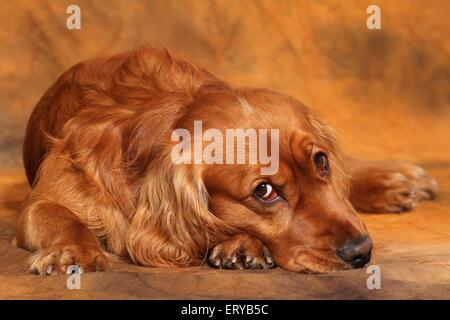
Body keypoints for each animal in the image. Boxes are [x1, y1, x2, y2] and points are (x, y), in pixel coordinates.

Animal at [16, 46, 436, 274]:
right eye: (264, 191)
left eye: (321, 162)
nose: (360, 251)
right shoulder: (45, 199)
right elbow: (61, 218)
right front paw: (73, 251)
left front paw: (240, 245)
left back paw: (395, 180)